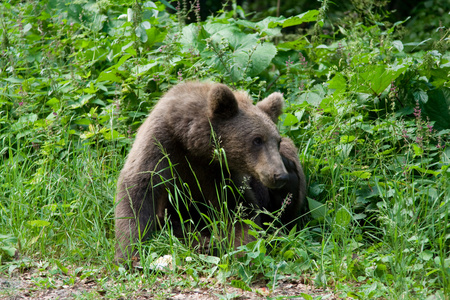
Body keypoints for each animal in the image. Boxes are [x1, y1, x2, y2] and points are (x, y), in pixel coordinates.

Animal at [114, 81, 308, 262]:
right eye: (257, 139)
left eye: (277, 141)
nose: (279, 175)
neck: (192, 143)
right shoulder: (161, 146)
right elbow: (138, 191)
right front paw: (129, 252)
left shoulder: (219, 173)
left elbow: (238, 207)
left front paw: (241, 247)